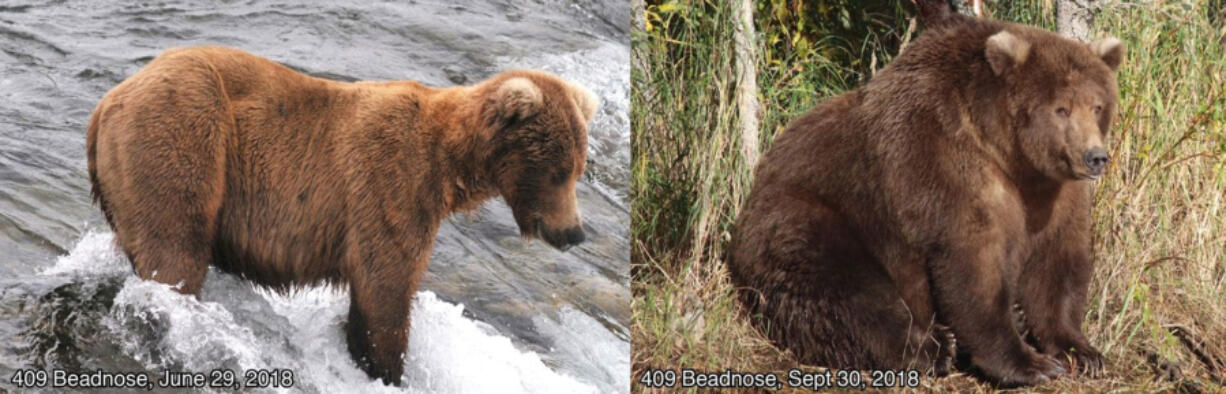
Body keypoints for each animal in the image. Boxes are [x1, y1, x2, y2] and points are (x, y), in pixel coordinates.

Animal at [86, 46, 598, 382]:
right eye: (558, 172)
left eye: (578, 169)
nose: (574, 232)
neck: (450, 166)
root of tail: (106, 104)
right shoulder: (389, 186)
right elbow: (385, 292)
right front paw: (386, 368)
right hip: (185, 135)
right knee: (174, 254)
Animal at [725, 13, 1123, 387]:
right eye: (1061, 109)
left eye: (1097, 106)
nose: (1095, 157)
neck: (1009, 155)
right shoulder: (943, 164)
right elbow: (973, 264)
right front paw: (1029, 363)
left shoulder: (1053, 194)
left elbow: (1057, 262)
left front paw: (1081, 351)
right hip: (809, 217)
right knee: (847, 290)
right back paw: (933, 348)